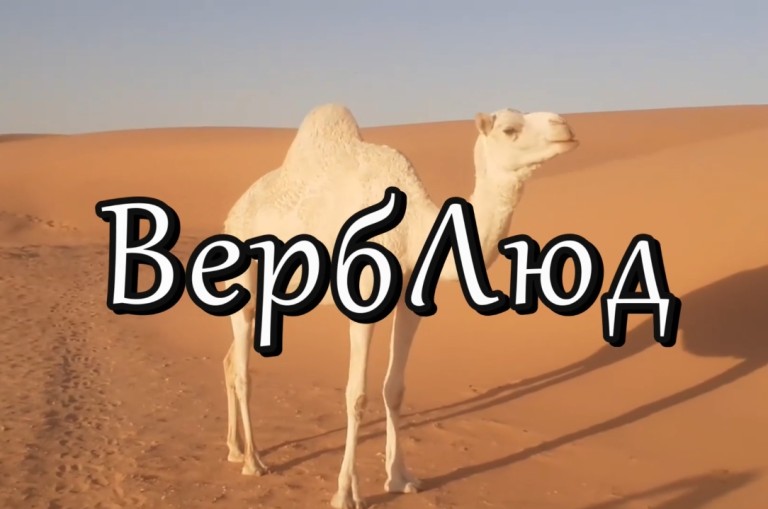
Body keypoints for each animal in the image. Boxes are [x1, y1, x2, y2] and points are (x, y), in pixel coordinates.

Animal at [220, 103, 579, 508]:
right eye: (509, 130)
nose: (564, 126)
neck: (413, 230)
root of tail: (233, 211)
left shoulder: (410, 301)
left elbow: (394, 389)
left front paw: (400, 477)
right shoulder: (362, 299)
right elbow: (356, 394)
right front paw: (346, 492)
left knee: (231, 359)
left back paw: (234, 448)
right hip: (245, 270)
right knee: (243, 370)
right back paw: (254, 461)